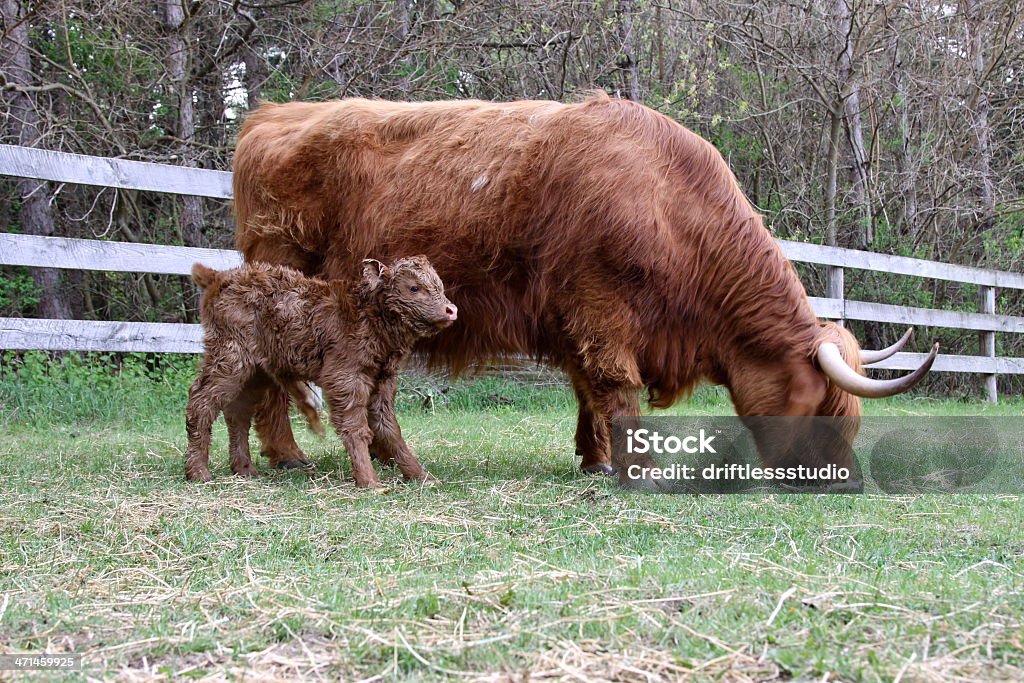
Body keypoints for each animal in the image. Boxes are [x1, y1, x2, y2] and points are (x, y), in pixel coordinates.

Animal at [182, 254, 458, 485]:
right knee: (201, 401)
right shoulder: (344, 377)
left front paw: (421, 476)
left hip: (256, 372)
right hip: (229, 356)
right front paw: (370, 481)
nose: (451, 309)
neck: (367, 316)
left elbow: (390, 428)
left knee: (237, 412)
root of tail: (219, 276)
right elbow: (356, 428)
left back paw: (244, 469)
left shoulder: (383, 380)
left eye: (440, 286)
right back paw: (198, 472)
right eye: (414, 288)